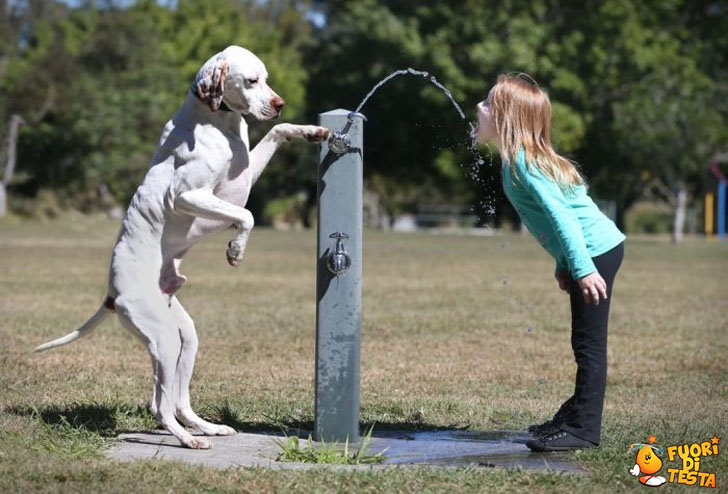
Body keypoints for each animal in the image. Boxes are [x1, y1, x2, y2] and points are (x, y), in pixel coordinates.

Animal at [33, 45, 330, 448]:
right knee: (159, 406)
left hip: (185, 338)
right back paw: (189, 440)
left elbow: (277, 132)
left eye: (266, 79)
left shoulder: (243, 178)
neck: (217, 121)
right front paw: (235, 250)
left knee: (177, 400)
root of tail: (111, 293)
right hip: (164, 338)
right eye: (252, 80)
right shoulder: (190, 195)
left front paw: (312, 131)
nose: (279, 103)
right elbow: (248, 215)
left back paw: (207, 427)